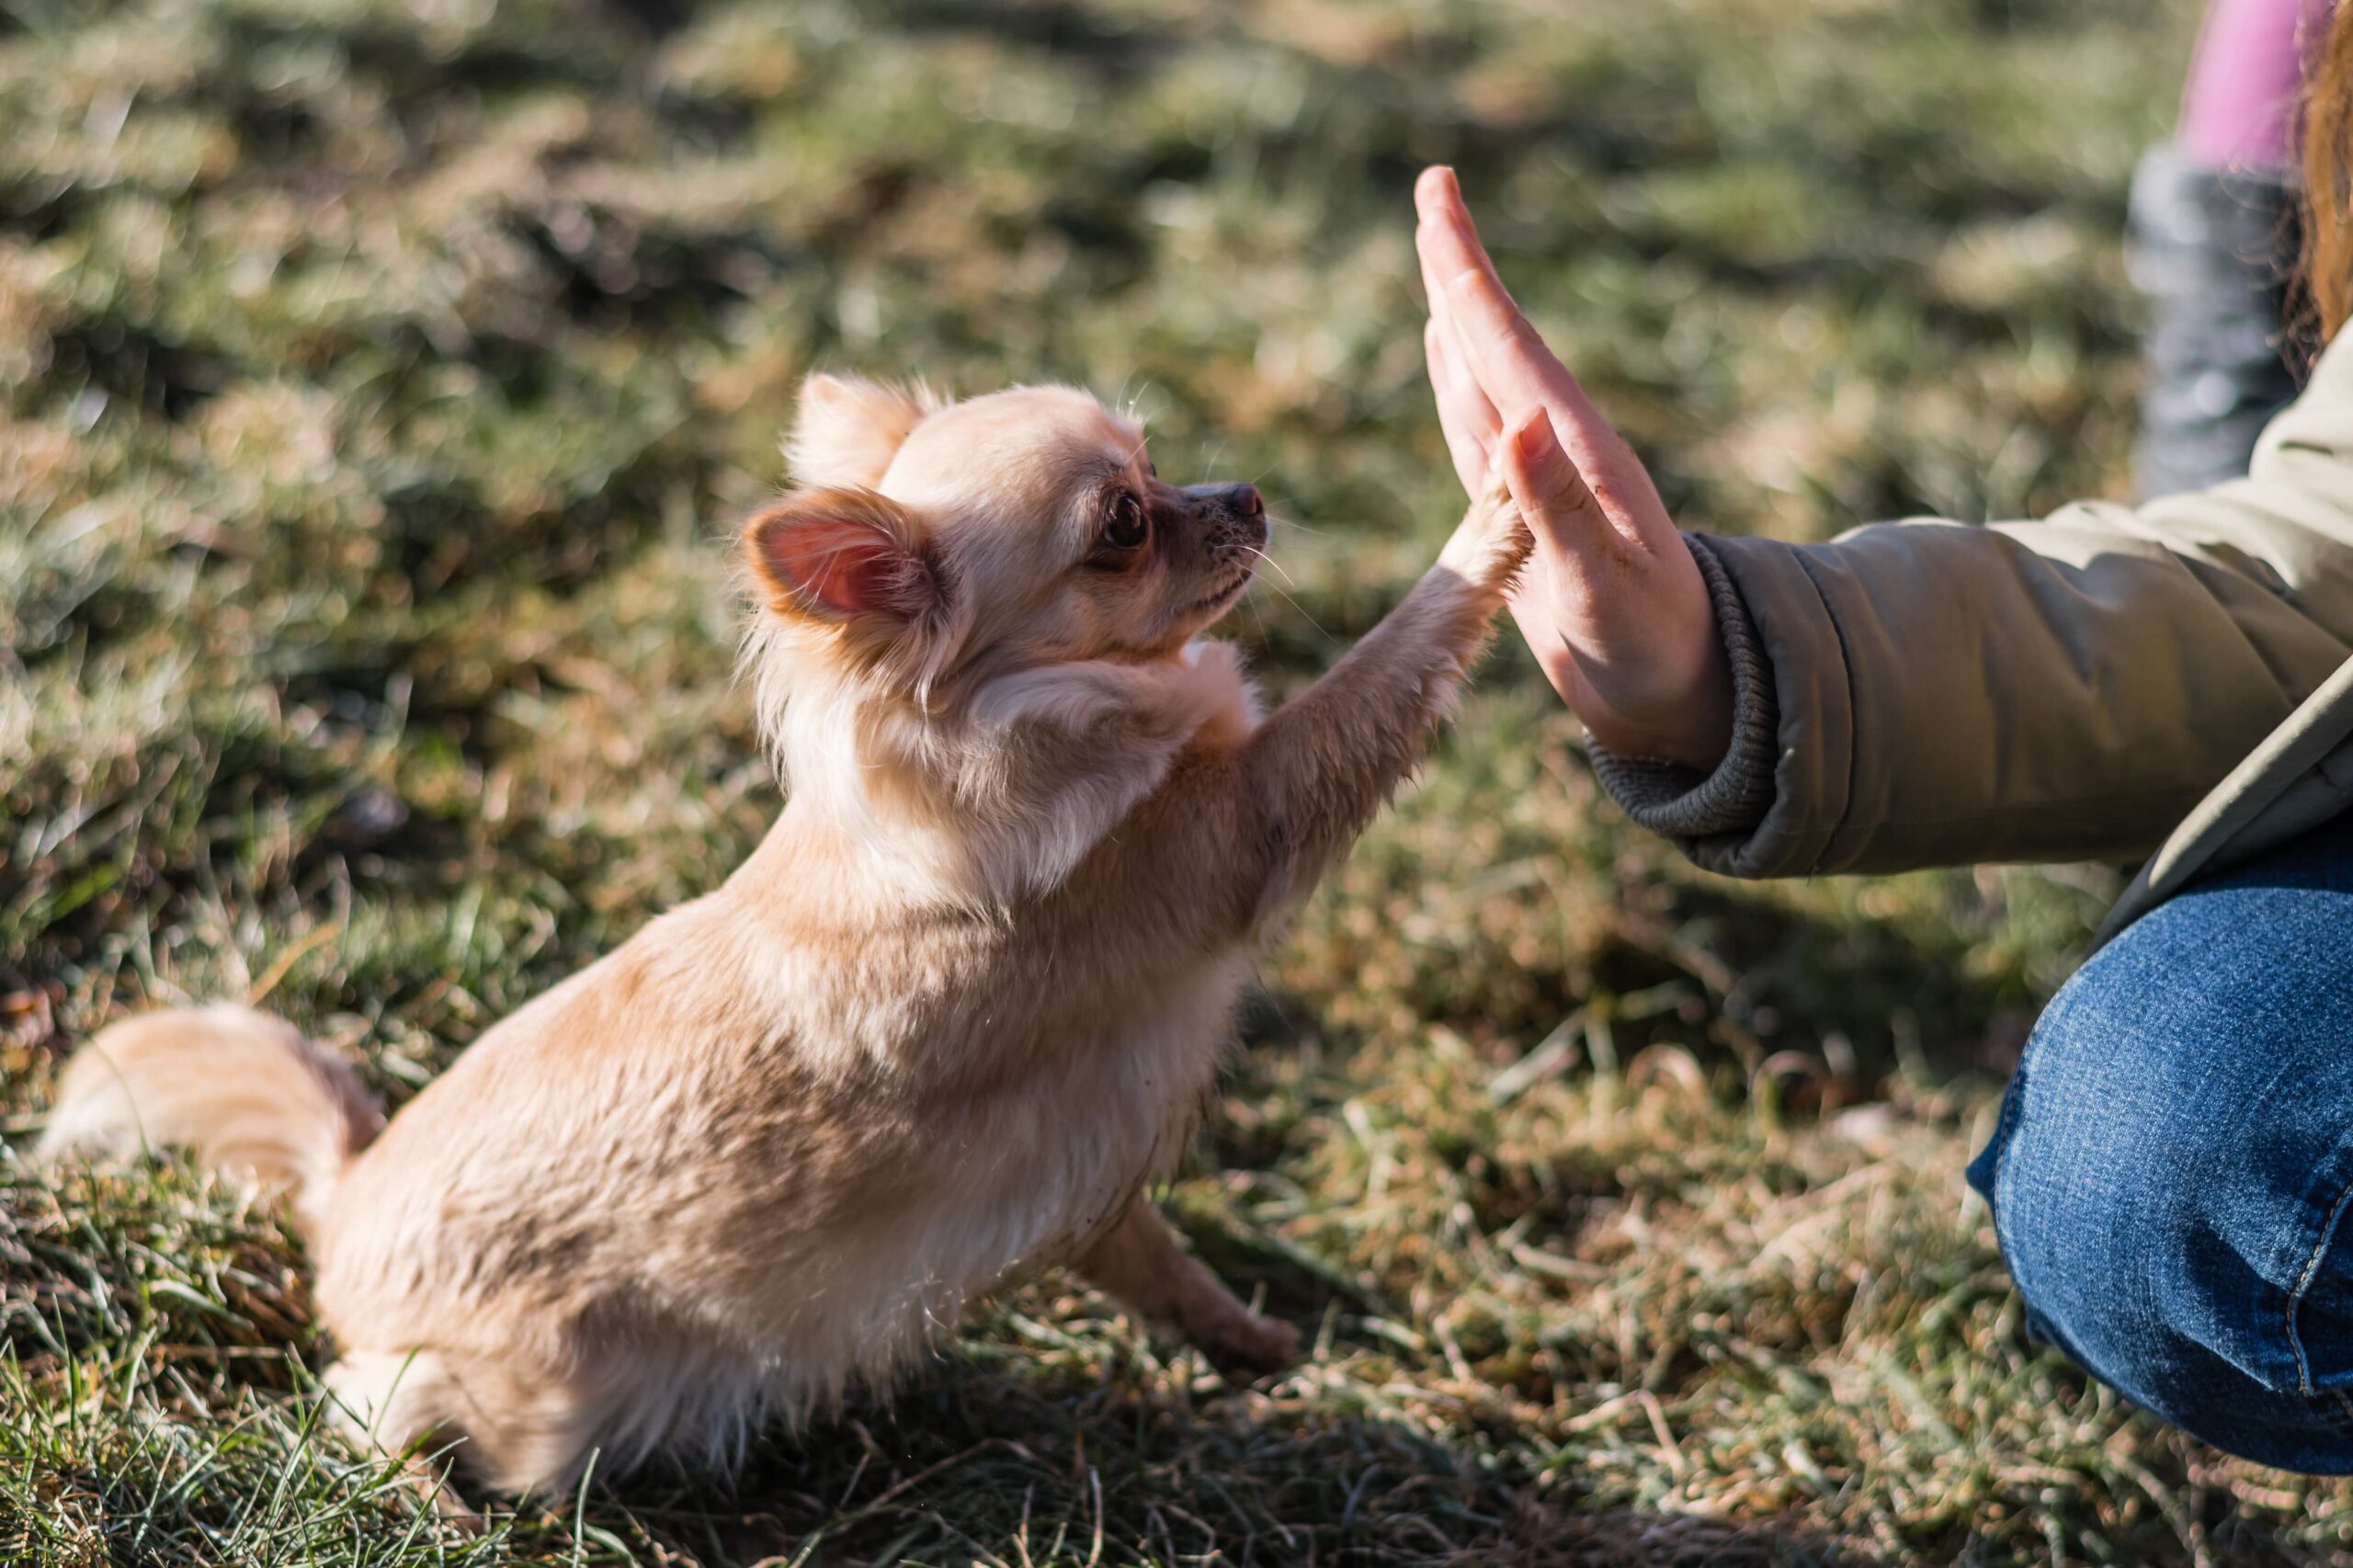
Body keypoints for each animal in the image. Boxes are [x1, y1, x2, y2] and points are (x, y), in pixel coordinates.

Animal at [45, 371, 1534, 1497]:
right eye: (1121, 523)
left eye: (1156, 463)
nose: (1248, 500)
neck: (1044, 718)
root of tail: (345, 1189)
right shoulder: (1249, 829)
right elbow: (1385, 668)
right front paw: (1503, 505)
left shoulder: (1093, 1166)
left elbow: (1158, 1263)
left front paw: (1254, 1342)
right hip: (534, 1400)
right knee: (374, 1406)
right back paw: (430, 1492)